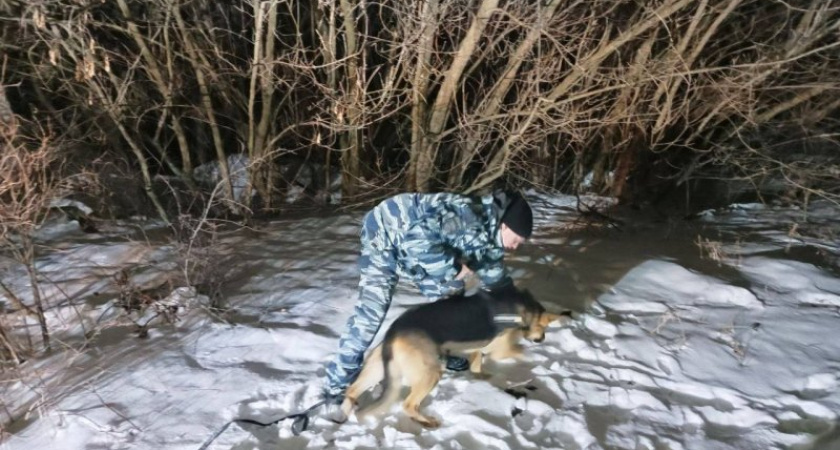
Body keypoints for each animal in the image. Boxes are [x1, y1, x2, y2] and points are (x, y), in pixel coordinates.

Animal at [334, 284, 572, 428]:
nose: (542, 339)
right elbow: (523, 353)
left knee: (352, 389)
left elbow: (477, 365)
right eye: (544, 328)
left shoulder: (476, 349)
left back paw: (344, 412)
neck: (522, 307)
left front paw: (482, 377)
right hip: (431, 372)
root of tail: (394, 331)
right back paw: (428, 422)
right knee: (408, 405)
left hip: (379, 370)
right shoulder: (500, 349)